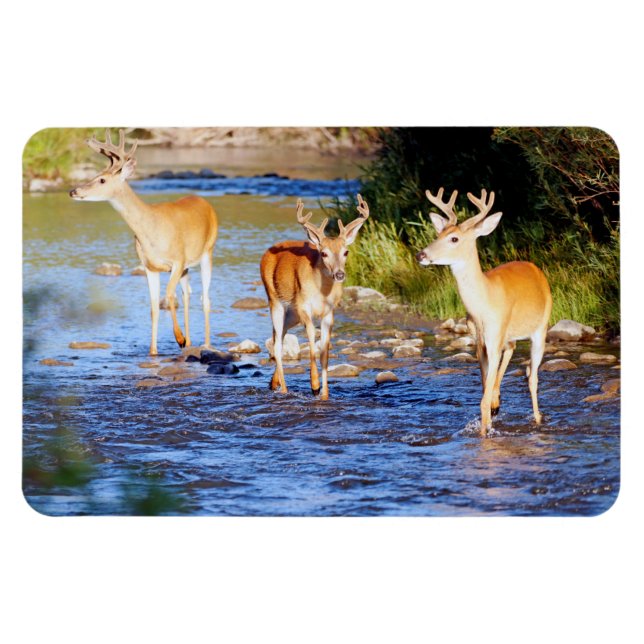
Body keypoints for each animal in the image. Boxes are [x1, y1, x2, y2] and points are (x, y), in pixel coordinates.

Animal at [69, 129, 218, 356]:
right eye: (94, 175)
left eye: (102, 180)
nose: (74, 191)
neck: (150, 230)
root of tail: (205, 202)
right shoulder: (150, 266)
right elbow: (154, 307)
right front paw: (154, 351)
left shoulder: (177, 260)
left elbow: (168, 295)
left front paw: (179, 338)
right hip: (187, 267)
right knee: (187, 294)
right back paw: (190, 343)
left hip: (207, 252)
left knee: (205, 299)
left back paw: (205, 344)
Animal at [260, 195, 370, 400]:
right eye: (324, 253)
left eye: (346, 252)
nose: (339, 274)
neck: (321, 292)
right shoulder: (304, 306)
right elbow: (312, 337)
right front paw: (314, 385)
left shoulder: (329, 312)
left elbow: (325, 351)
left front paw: (325, 394)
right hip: (275, 300)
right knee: (277, 346)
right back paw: (284, 389)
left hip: (291, 314)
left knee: (278, 337)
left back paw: (273, 383)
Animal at [416, 188, 552, 435]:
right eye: (438, 234)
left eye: (454, 238)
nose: (421, 255)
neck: (482, 305)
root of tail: (536, 269)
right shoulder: (479, 340)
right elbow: (484, 391)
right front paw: (488, 422)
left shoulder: (495, 333)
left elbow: (483, 399)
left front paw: (484, 434)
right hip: (507, 334)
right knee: (513, 349)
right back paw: (499, 401)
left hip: (540, 328)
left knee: (533, 377)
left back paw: (537, 420)